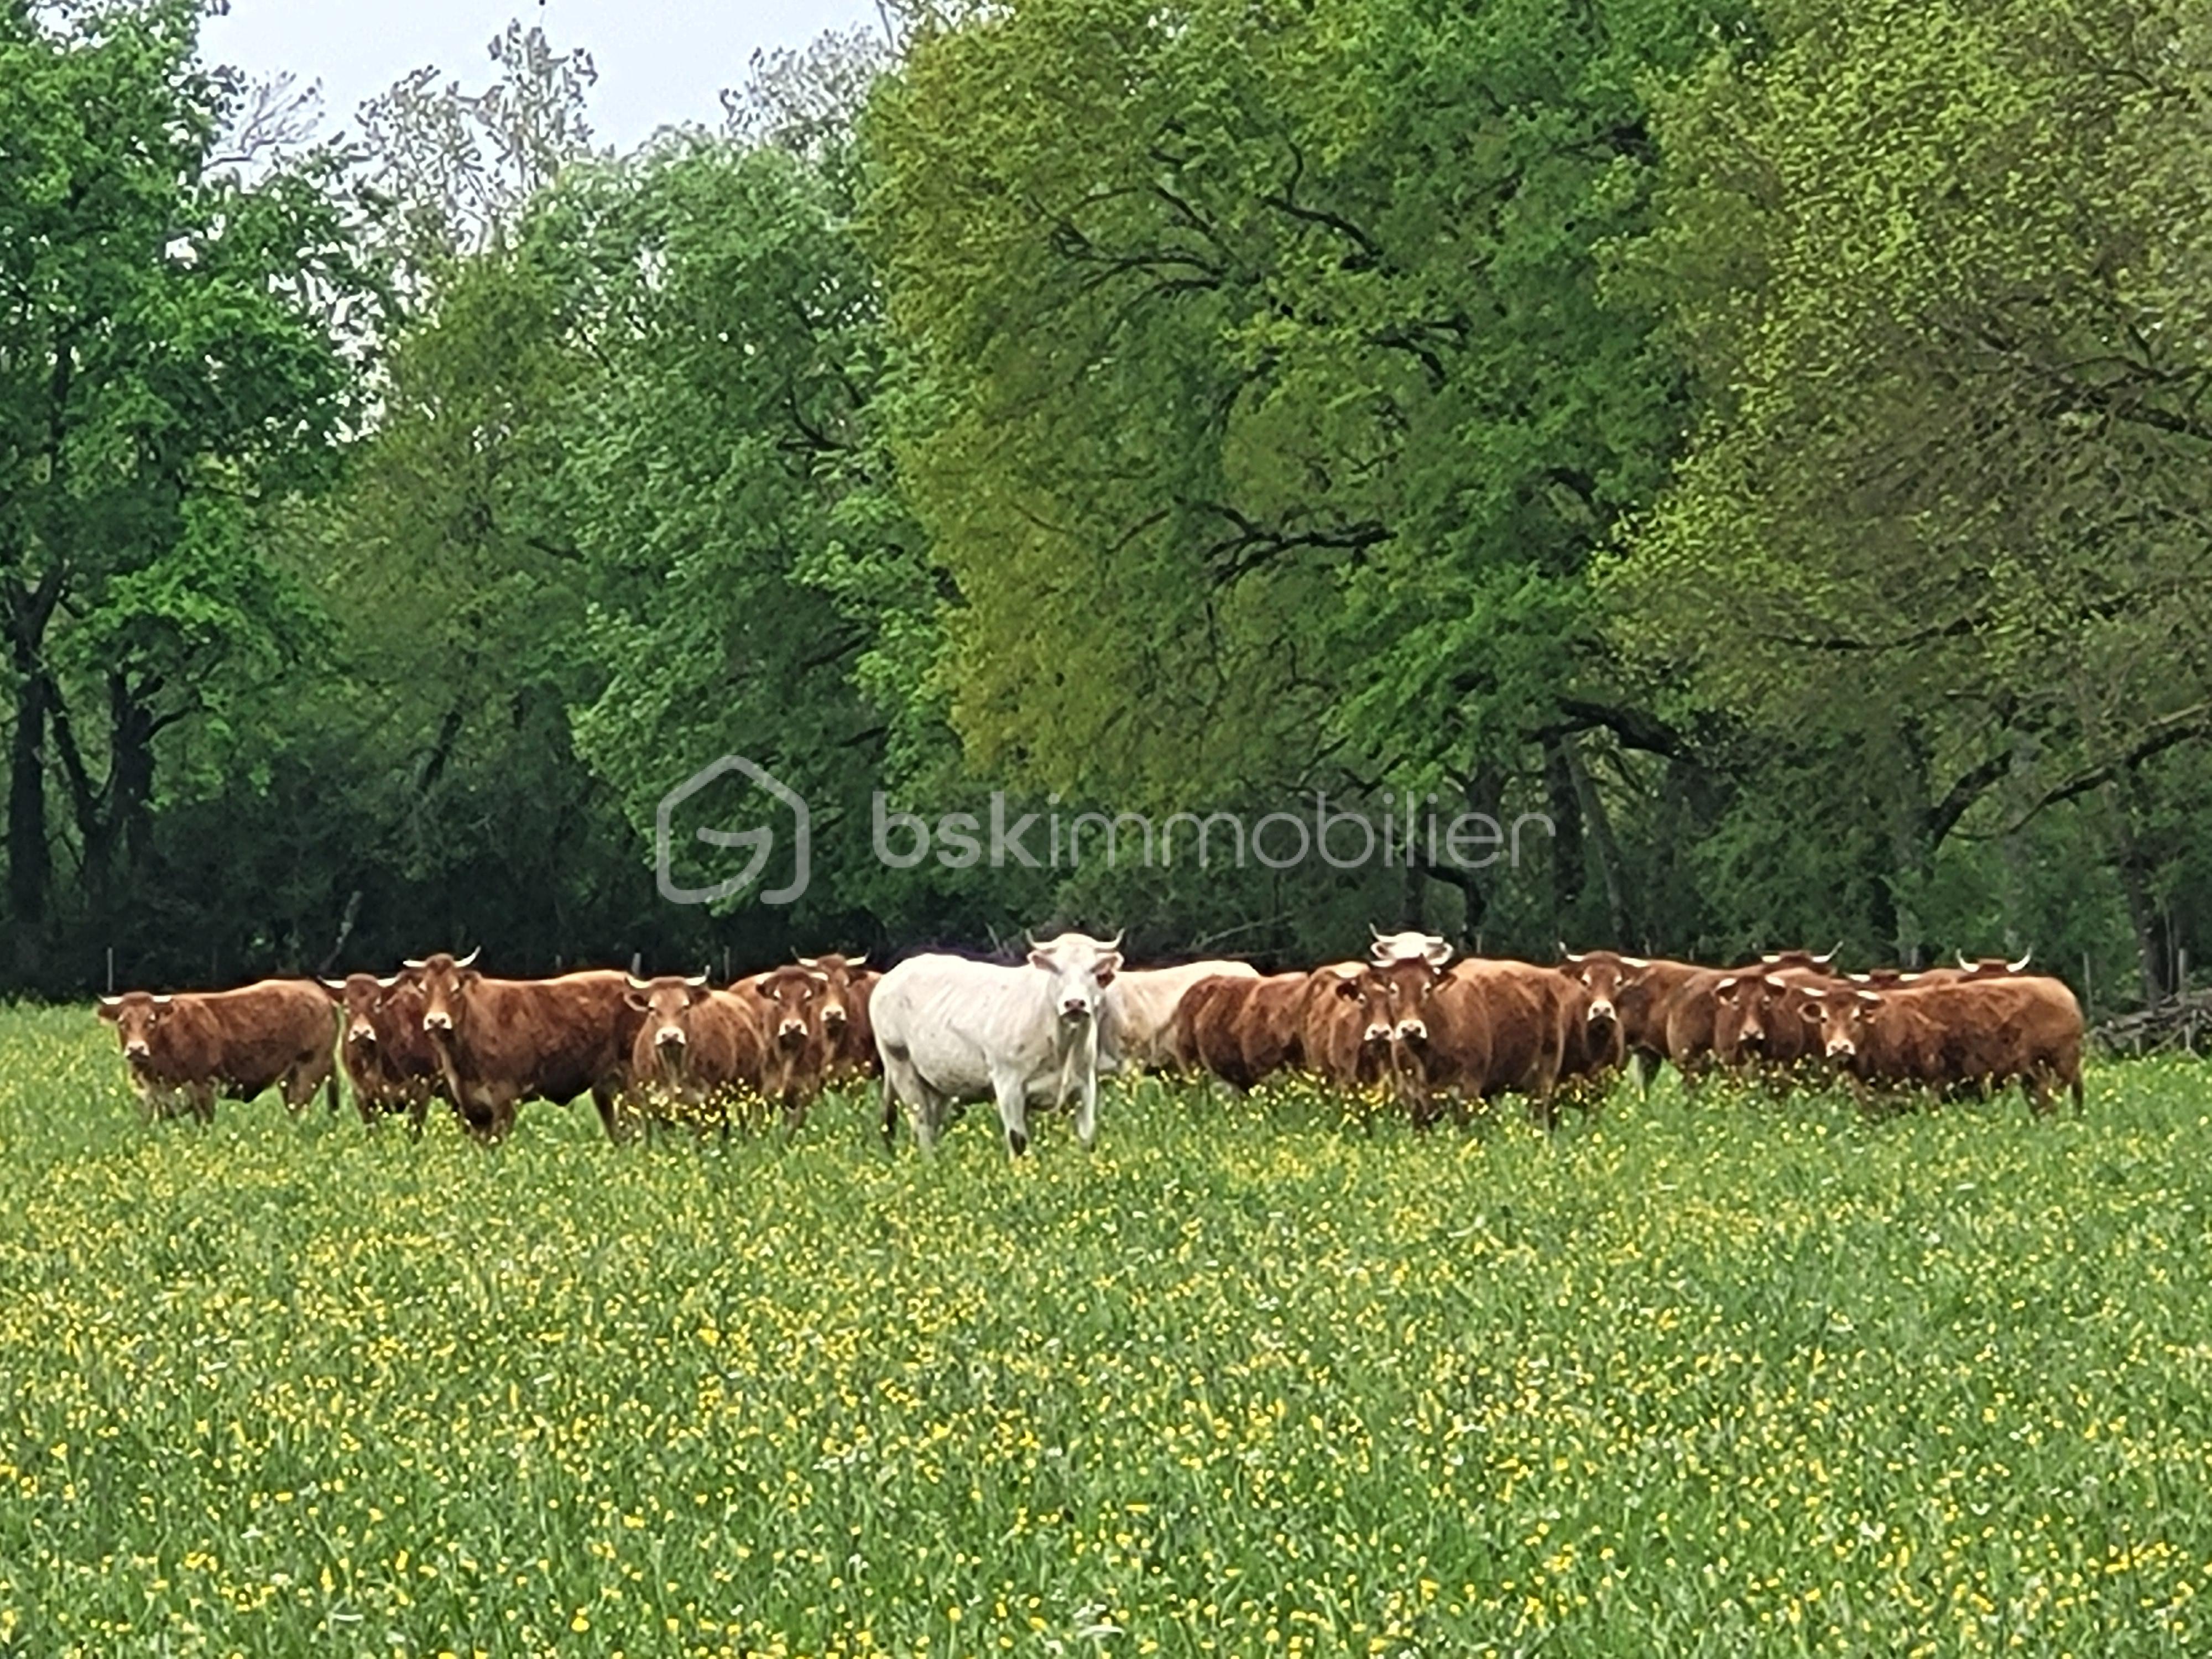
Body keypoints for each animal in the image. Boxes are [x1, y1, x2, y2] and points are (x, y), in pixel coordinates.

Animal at [97, 981, 337, 1124]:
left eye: (151, 1021)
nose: (136, 1049)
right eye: (122, 1022)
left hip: (310, 1069)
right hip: (289, 1078)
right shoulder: (152, 1098)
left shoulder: (203, 1087)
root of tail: (316, 990)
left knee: (298, 1108)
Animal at [404, 949, 640, 1143]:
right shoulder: (472, 1106)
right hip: (606, 1088)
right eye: (424, 990)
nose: (436, 1021)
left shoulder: (504, 1098)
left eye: (455, 989)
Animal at [872, 931, 1124, 1155]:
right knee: (922, 1123)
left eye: (1094, 970)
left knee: (933, 1126)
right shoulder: (1009, 1086)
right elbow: (1018, 1141)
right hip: (901, 1067)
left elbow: (1087, 1138)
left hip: (938, 1084)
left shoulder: (1084, 1086)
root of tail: (892, 975)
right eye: (1056, 969)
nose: (1075, 1004)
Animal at [1802, 975, 2084, 1113]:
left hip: (2059, 1069)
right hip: (2034, 1078)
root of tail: (2060, 989)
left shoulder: (1931, 1088)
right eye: (1824, 1018)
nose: (1840, 1048)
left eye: (1856, 1016)